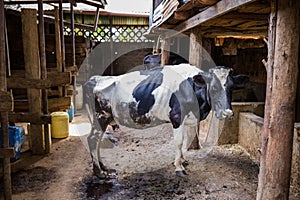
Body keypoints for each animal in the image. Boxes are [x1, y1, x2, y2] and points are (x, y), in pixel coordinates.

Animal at [84, 63, 248, 177]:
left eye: (232, 87)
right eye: (213, 88)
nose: (227, 112)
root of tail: (95, 79)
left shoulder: (187, 119)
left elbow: (185, 141)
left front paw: (183, 160)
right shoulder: (177, 117)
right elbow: (179, 142)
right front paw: (179, 167)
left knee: (97, 141)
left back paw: (104, 167)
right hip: (102, 116)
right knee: (93, 139)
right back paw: (99, 173)